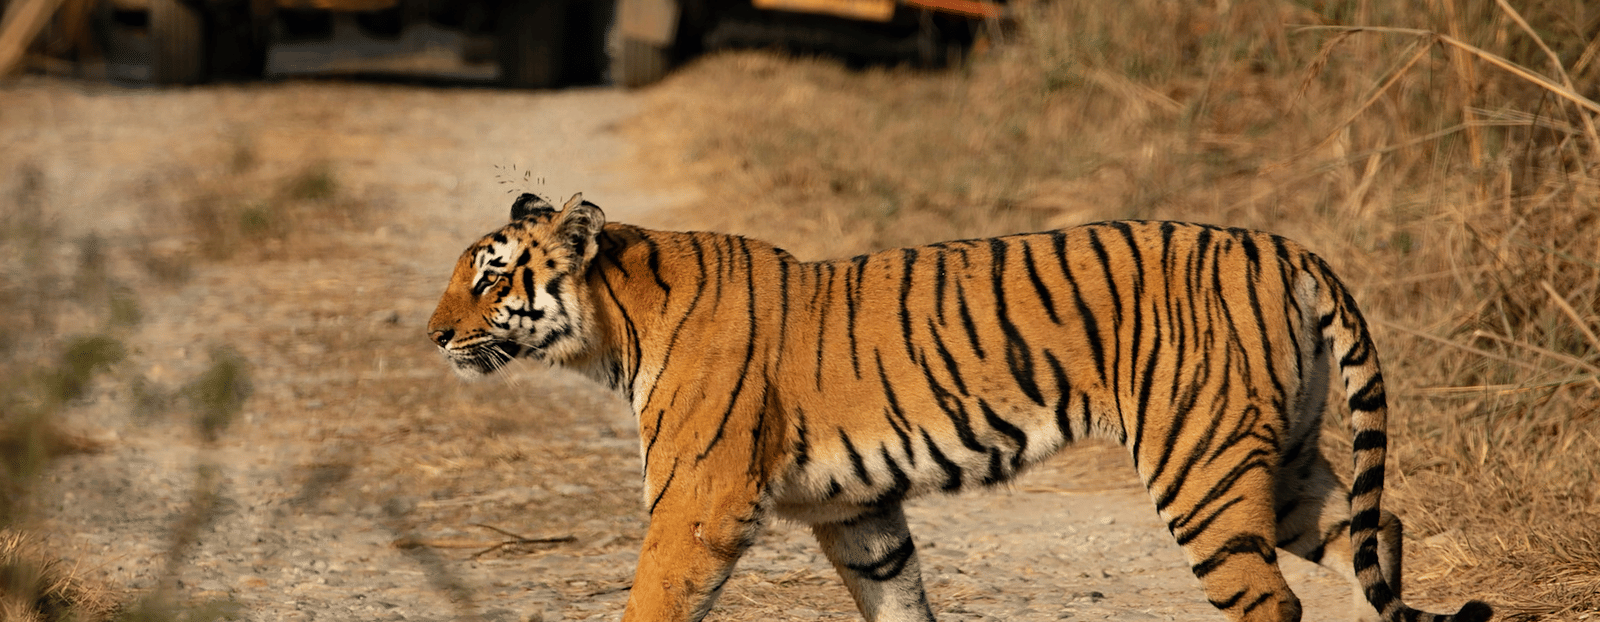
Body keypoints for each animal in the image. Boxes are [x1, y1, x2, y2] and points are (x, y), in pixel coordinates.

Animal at [426, 192, 1494, 622]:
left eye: (490, 279)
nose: (433, 336)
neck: (614, 329)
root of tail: (1288, 247)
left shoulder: (701, 503)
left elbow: (651, 600)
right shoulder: (858, 513)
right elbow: (899, 599)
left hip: (1203, 469)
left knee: (1272, 598)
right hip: (1286, 463)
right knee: (1381, 530)